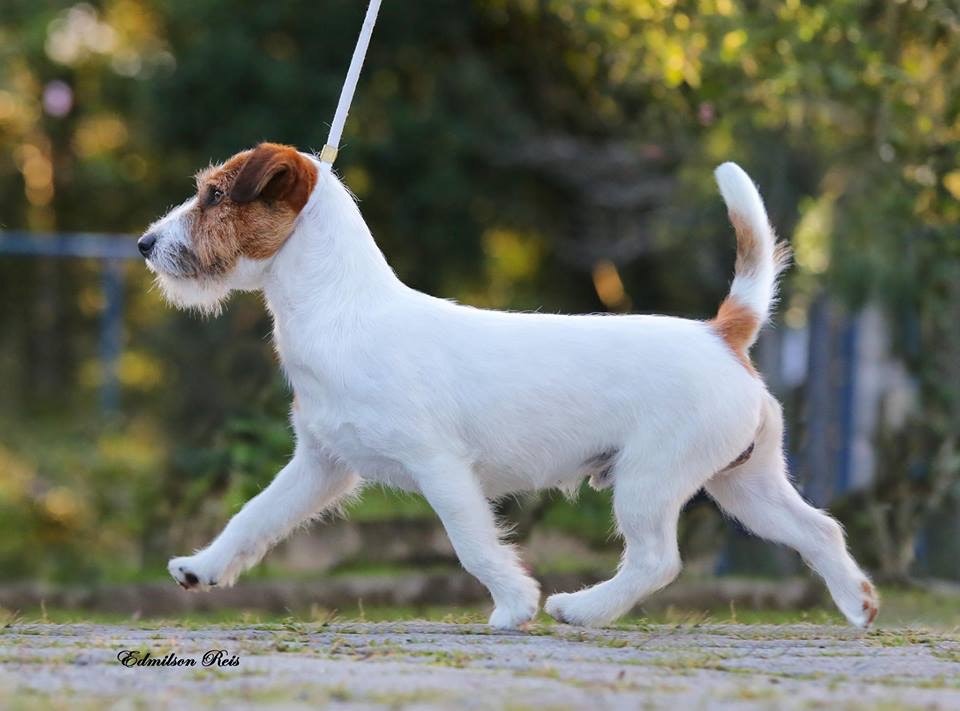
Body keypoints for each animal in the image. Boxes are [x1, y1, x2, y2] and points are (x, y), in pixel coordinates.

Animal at [139, 143, 880, 628]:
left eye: (213, 195)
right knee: (819, 529)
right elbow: (255, 515)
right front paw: (203, 567)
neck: (343, 307)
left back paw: (581, 608)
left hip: (651, 479)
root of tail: (722, 331)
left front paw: (515, 606)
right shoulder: (320, 463)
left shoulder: (439, 467)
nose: (144, 243)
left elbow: (472, 542)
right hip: (746, 482)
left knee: (657, 559)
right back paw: (858, 605)